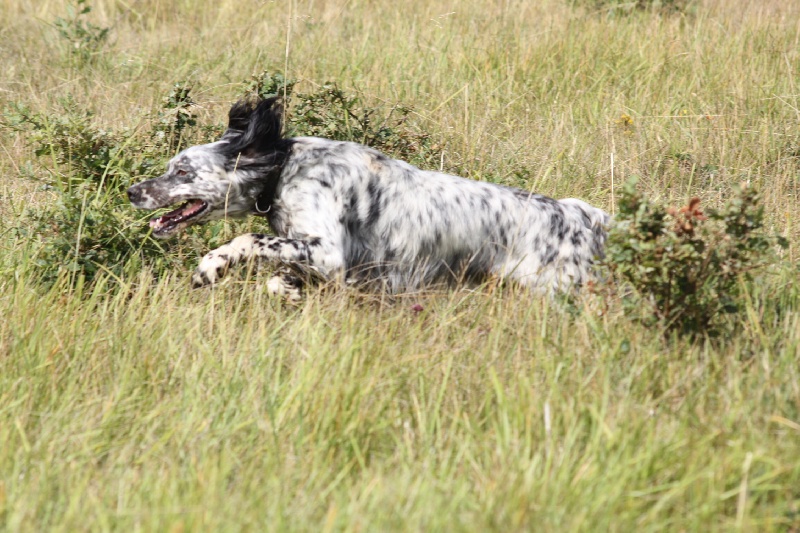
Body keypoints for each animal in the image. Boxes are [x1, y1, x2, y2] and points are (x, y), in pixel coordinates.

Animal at [128, 97, 608, 298]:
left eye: (182, 170)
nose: (132, 192)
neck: (282, 169)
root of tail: (584, 218)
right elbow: (277, 276)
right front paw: (290, 291)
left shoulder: (329, 250)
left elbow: (247, 240)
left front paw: (209, 268)